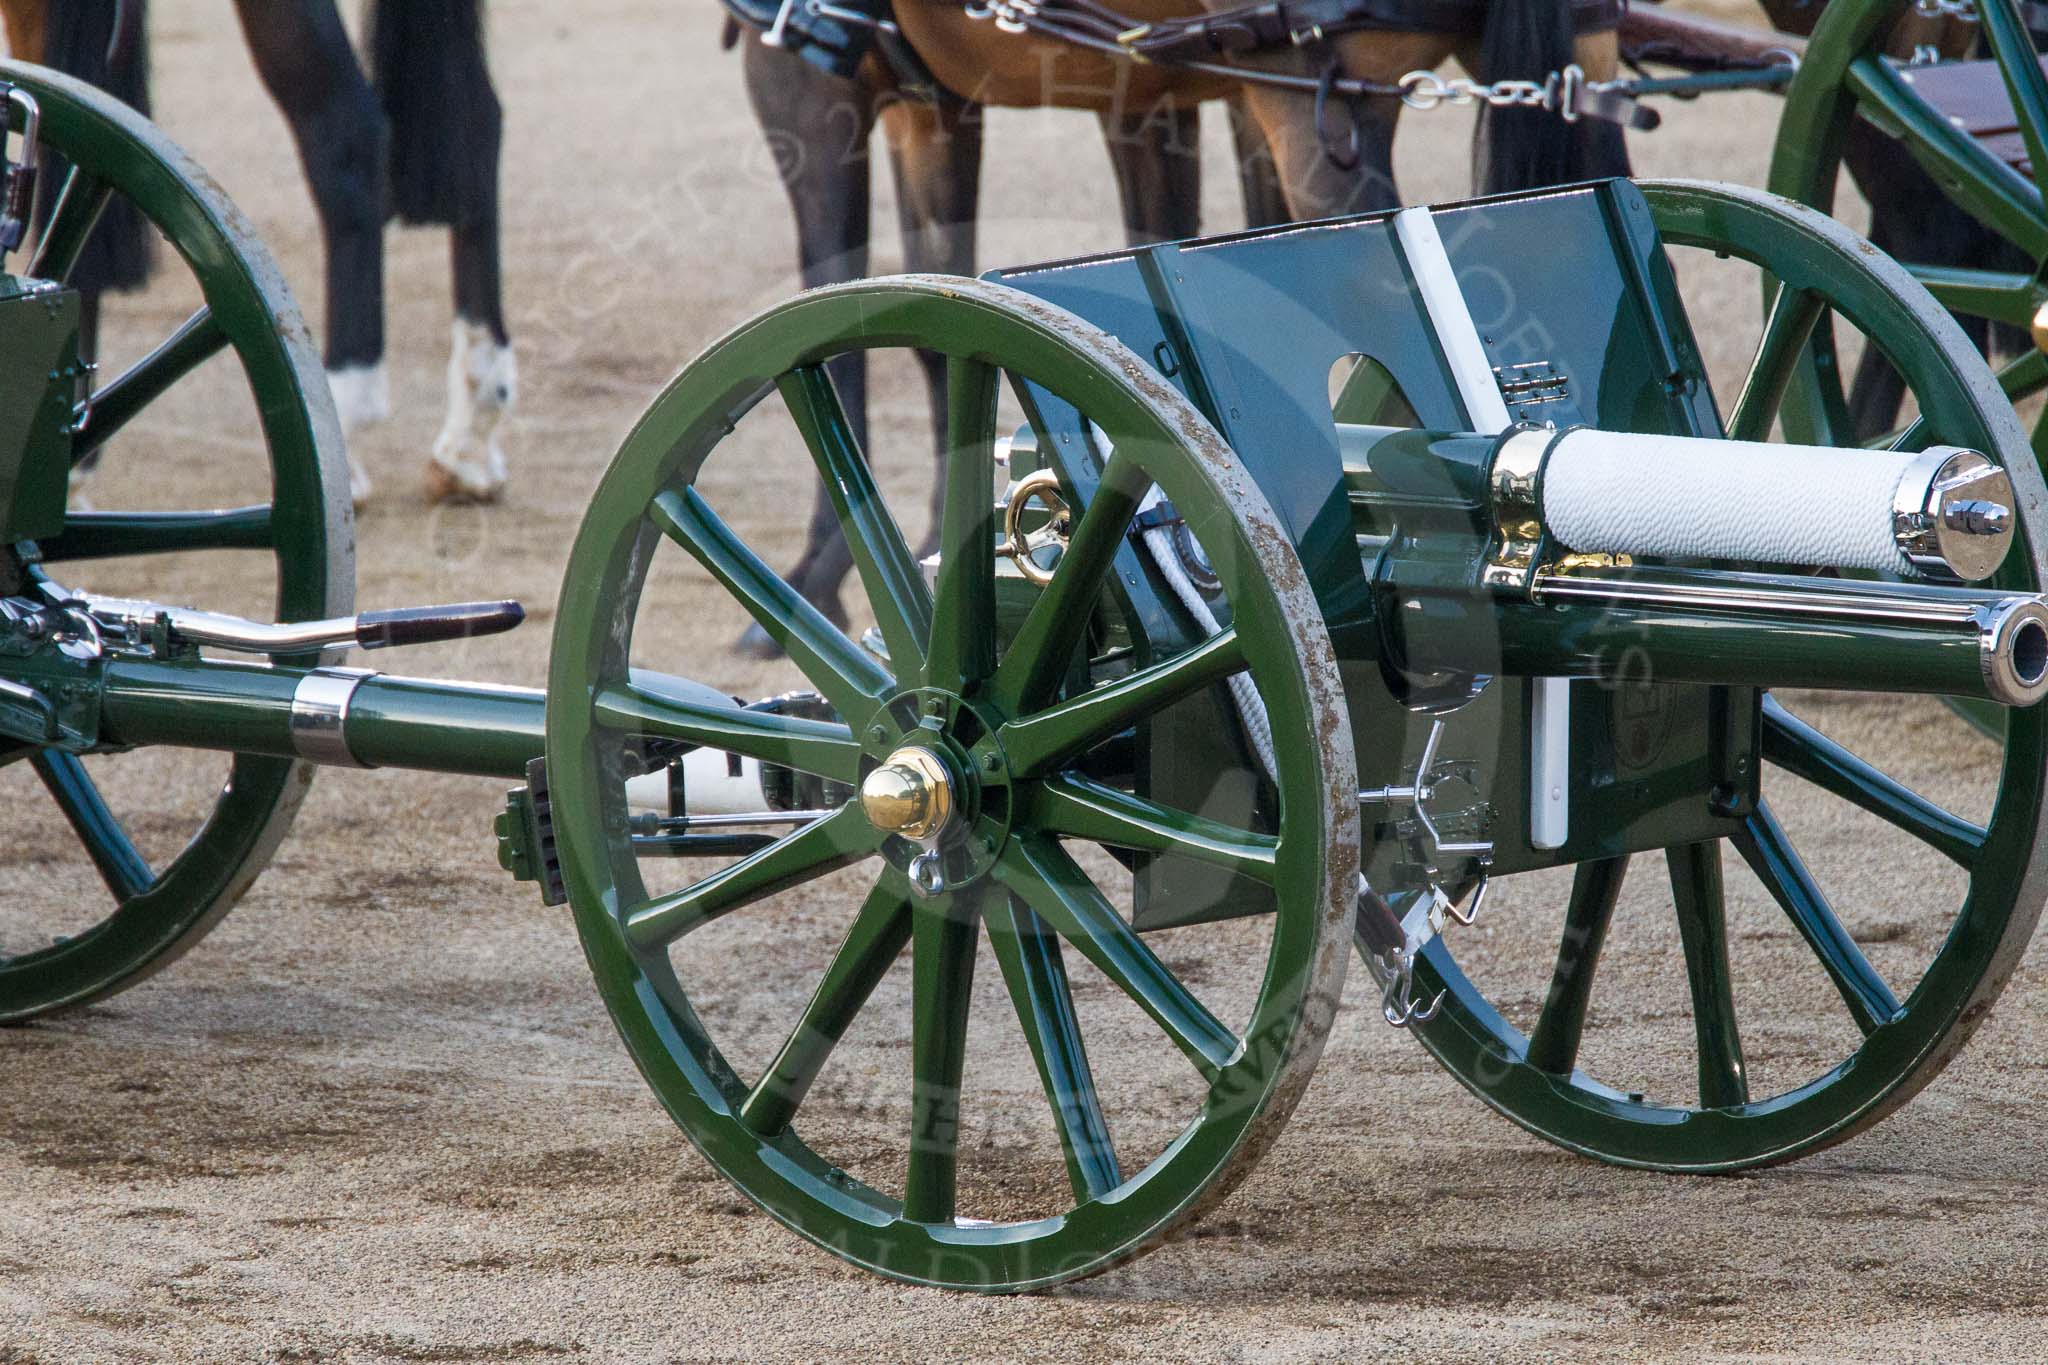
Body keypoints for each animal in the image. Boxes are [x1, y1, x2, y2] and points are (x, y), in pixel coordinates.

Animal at [737, 0, 1630, 654]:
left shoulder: (812, 80)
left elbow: (850, 309)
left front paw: (820, 571)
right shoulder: (1129, 98)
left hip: (1307, 90)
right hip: (1579, 61)